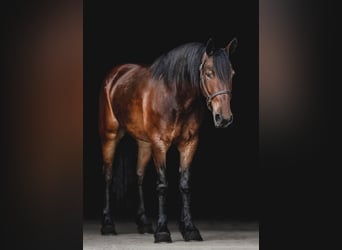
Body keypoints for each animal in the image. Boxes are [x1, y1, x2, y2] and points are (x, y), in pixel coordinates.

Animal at [98, 37, 238, 242]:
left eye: (232, 74)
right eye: (209, 73)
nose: (224, 118)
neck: (174, 97)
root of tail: (116, 74)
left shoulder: (189, 144)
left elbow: (185, 184)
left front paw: (189, 228)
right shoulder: (159, 144)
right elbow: (163, 185)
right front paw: (163, 231)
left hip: (144, 143)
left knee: (139, 175)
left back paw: (144, 223)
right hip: (110, 135)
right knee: (108, 175)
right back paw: (108, 224)